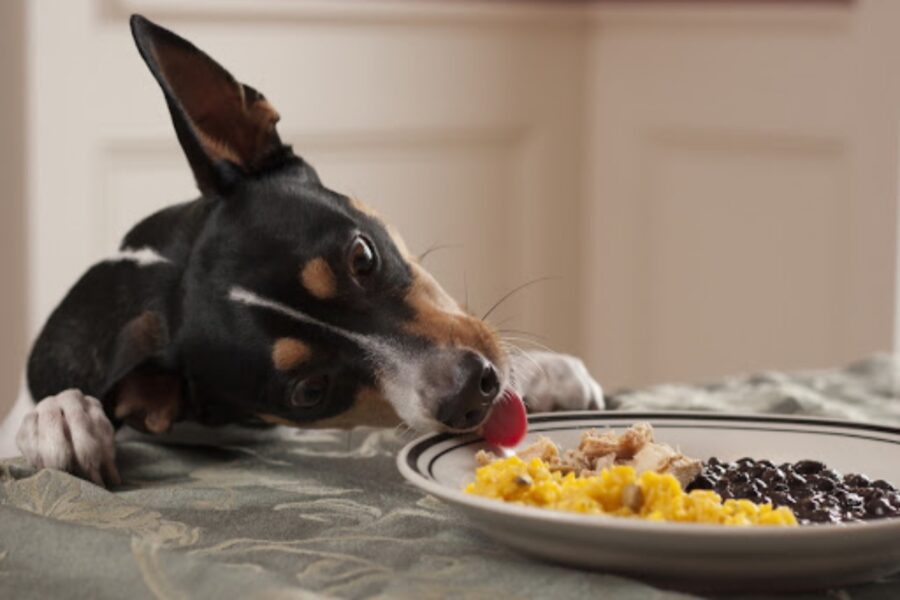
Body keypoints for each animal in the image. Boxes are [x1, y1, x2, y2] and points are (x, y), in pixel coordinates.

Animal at [12, 15, 604, 488]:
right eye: (309, 392)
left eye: (362, 257)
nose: (472, 393)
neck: (156, 274)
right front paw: (60, 418)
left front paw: (543, 374)